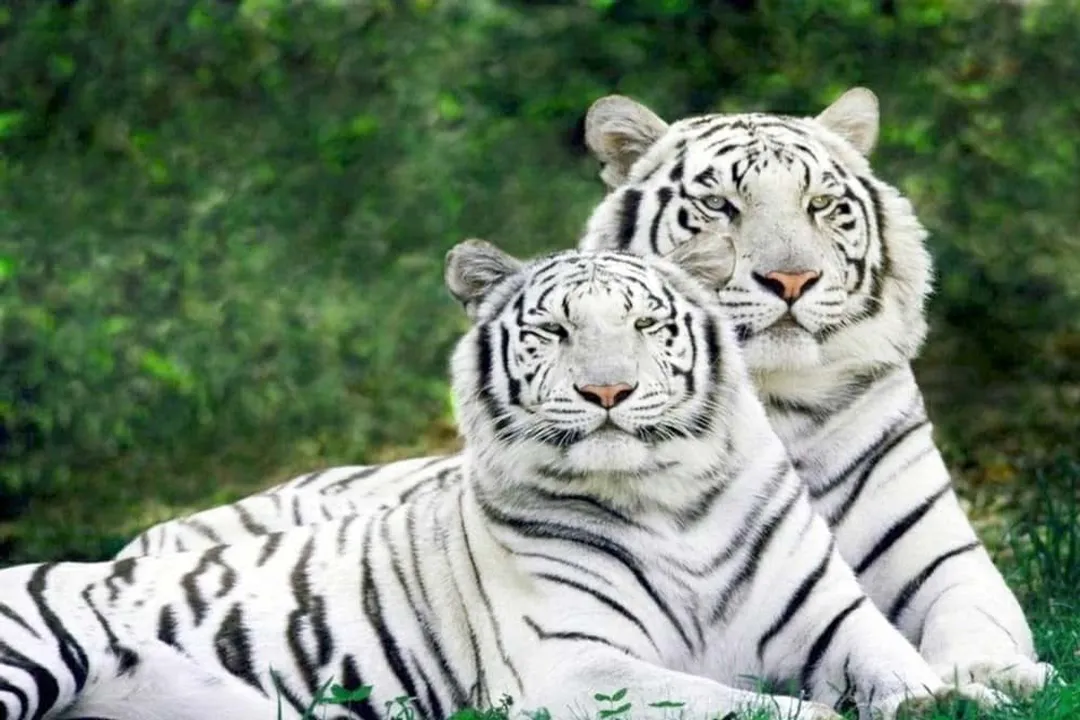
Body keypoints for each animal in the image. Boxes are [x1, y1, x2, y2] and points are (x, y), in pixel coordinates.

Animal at [0, 240, 1006, 720]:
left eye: (647, 326)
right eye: (554, 331)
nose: (608, 391)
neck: (670, 502)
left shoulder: (837, 625)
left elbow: (907, 674)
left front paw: (975, 693)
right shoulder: (576, 667)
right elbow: (756, 711)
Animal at [116, 87, 1056, 696]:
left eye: (825, 204)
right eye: (720, 206)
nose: (790, 279)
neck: (776, 403)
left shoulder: (943, 561)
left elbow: (975, 621)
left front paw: (999, 674)